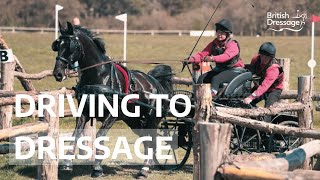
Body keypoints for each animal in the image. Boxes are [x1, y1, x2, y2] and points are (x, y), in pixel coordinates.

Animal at [52, 21, 174, 178]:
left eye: (71, 46)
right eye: (57, 45)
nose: (58, 73)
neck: (98, 77)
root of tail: (156, 83)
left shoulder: (111, 116)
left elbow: (99, 136)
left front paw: (97, 168)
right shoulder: (84, 112)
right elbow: (76, 135)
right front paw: (67, 163)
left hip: (152, 120)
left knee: (152, 140)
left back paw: (145, 169)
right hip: (135, 122)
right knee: (147, 141)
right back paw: (149, 166)